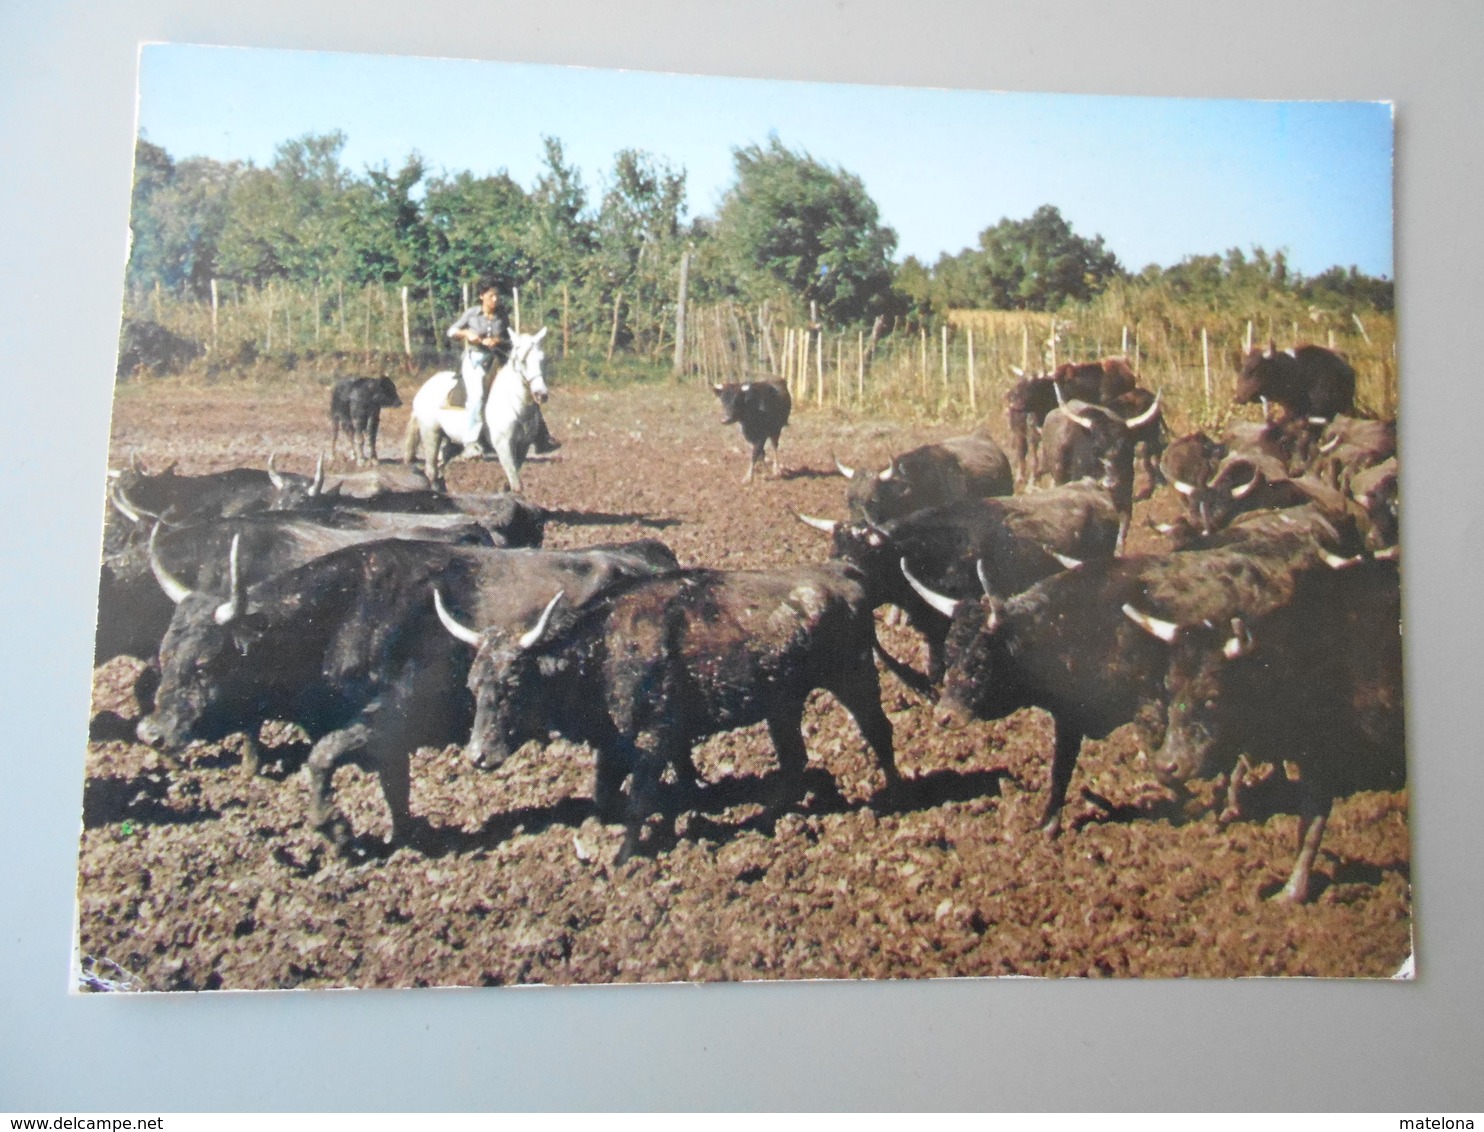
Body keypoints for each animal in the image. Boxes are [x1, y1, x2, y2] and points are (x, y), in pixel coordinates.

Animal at [403, 324, 549, 489]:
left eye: (542, 359)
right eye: (523, 360)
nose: (541, 394)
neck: (516, 405)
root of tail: (423, 389)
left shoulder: (523, 447)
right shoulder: (503, 446)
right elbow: (516, 482)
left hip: (451, 441)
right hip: (431, 433)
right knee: (431, 470)